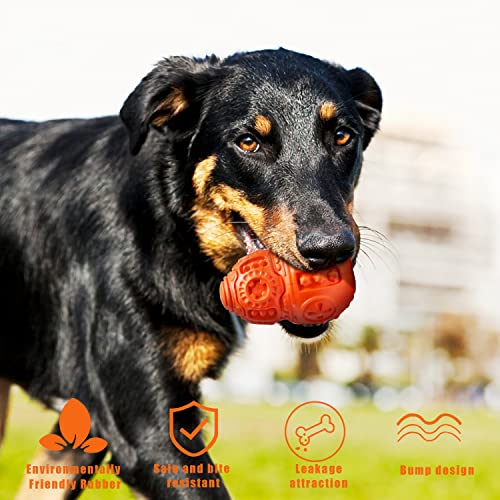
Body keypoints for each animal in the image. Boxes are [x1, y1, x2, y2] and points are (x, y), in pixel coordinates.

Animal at [0, 47, 382, 500]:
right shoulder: (147, 431)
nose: (331, 249)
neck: (169, 221)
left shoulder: (90, 421)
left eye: (342, 136)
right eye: (249, 142)